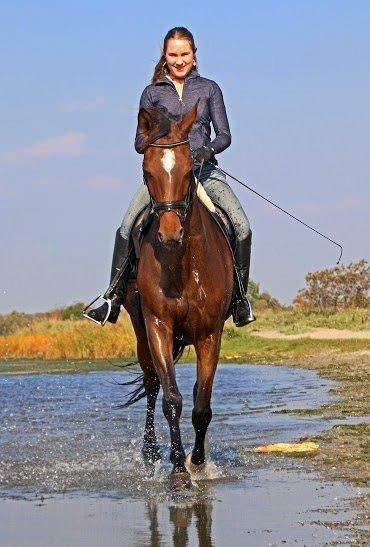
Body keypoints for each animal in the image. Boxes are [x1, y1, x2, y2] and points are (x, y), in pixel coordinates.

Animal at [123, 105, 234, 490]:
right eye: (146, 171)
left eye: (188, 171)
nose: (170, 234)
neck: (181, 263)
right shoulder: (158, 325)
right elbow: (172, 399)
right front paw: (177, 470)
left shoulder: (210, 334)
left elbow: (203, 405)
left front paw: (197, 462)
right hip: (142, 333)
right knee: (152, 385)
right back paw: (151, 452)